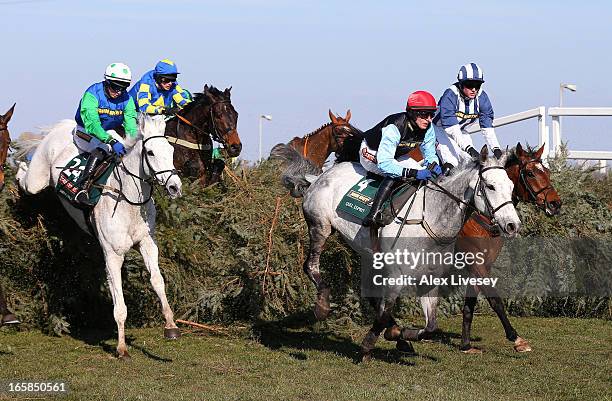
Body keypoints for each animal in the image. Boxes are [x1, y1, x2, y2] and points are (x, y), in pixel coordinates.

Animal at [14, 114, 182, 358]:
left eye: (171, 150)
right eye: (150, 153)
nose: (175, 187)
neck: (129, 200)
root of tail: (62, 125)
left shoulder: (148, 244)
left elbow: (157, 281)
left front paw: (171, 326)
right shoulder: (112, 255)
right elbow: (119, 306)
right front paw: (121, 348)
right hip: (37, 179)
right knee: (26, 177)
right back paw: (18, 166)